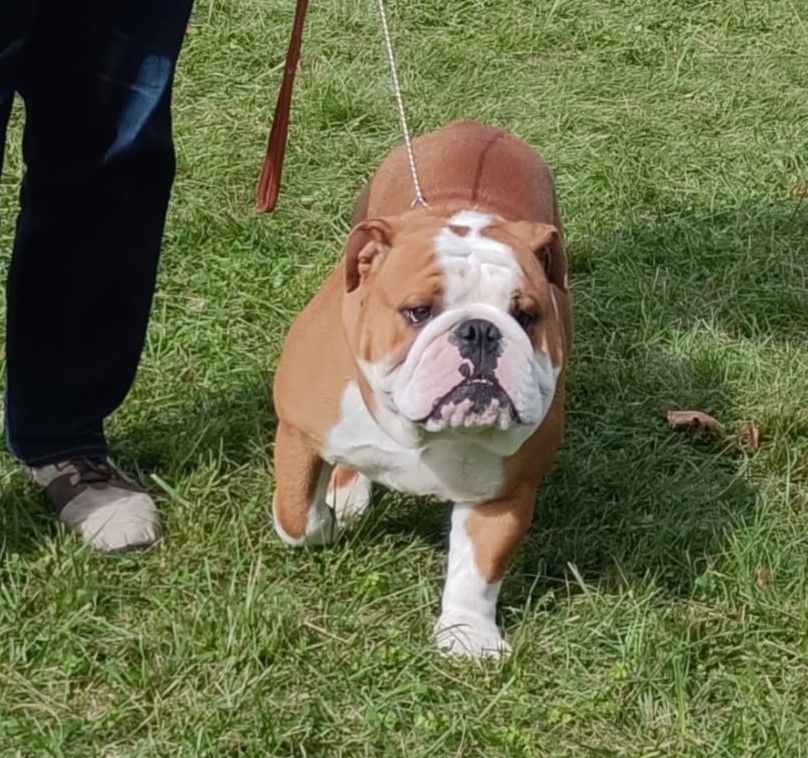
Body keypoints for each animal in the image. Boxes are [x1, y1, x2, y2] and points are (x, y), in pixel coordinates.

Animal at [271, 121, 570, 656]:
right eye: (417, 311)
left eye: (527, 315)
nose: (479, 331)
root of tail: (477, 128)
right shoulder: (298, 430)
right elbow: (295, 516)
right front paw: (325, 520)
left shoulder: (506, 489)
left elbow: (478, 568)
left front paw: (469, 637)